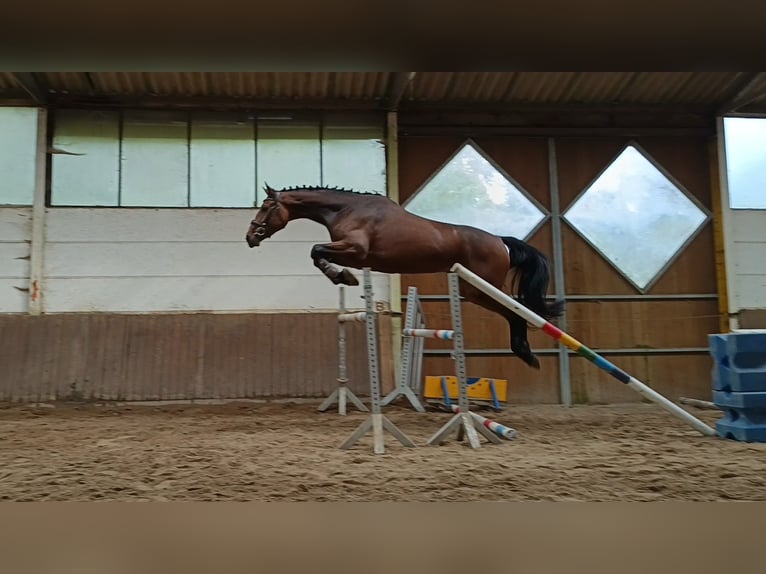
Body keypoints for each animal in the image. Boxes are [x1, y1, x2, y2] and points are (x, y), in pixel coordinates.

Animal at [246, 187, 564, 372]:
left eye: (265, 207)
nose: (250, 237)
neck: (345, 208)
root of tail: (501, 241)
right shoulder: (354, 254)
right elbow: (316, 253)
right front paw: (342, 277)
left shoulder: (356, 250)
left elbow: (315, 250)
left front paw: (343, 276)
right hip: (473, 290)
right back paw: (525, 353)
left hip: (482, 288)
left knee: (517, 312)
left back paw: (526, 354)